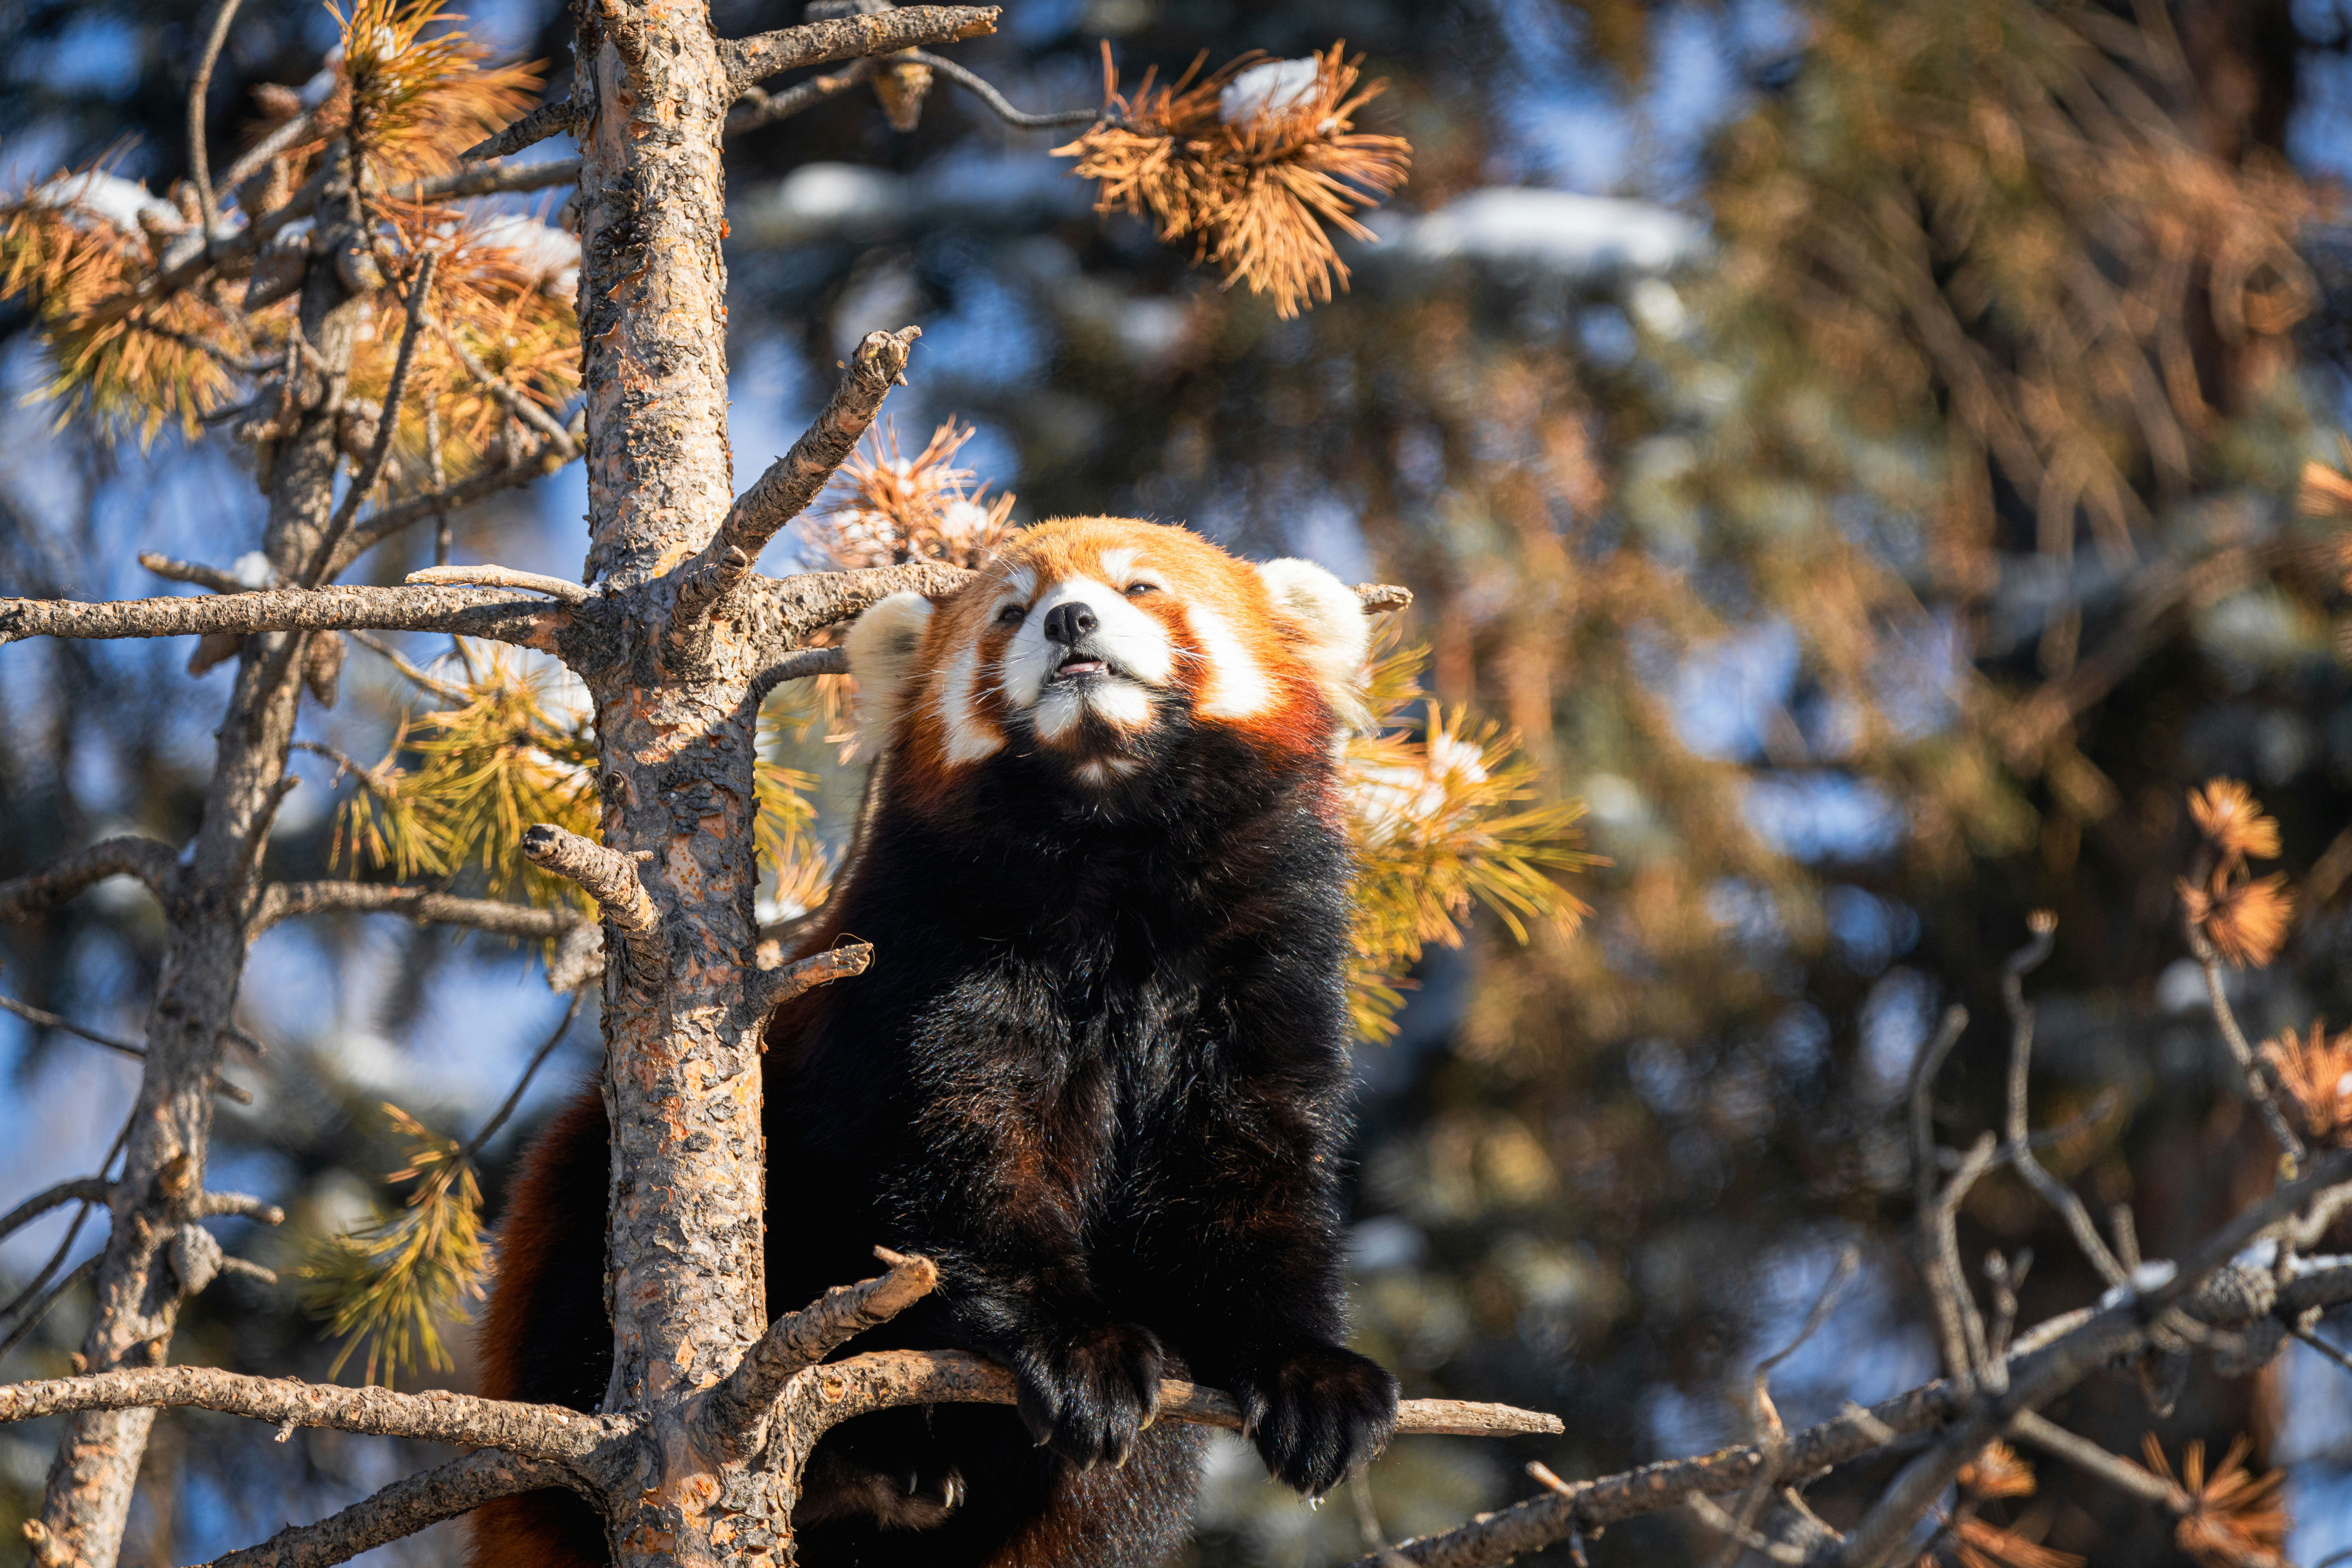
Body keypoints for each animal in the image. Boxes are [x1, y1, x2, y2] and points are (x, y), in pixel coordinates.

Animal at [473, 517, 1398, 1567]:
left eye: (1142, 587)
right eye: (1011, 610)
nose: (1070, 619)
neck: (1110, 848)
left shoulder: (1258, 970)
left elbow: (1249, 1176)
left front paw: (1310, 1374)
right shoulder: (938, 957)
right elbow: (964, 1155)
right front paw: (1075, 1347)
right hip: (577, 1228)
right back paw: (857, 1467)